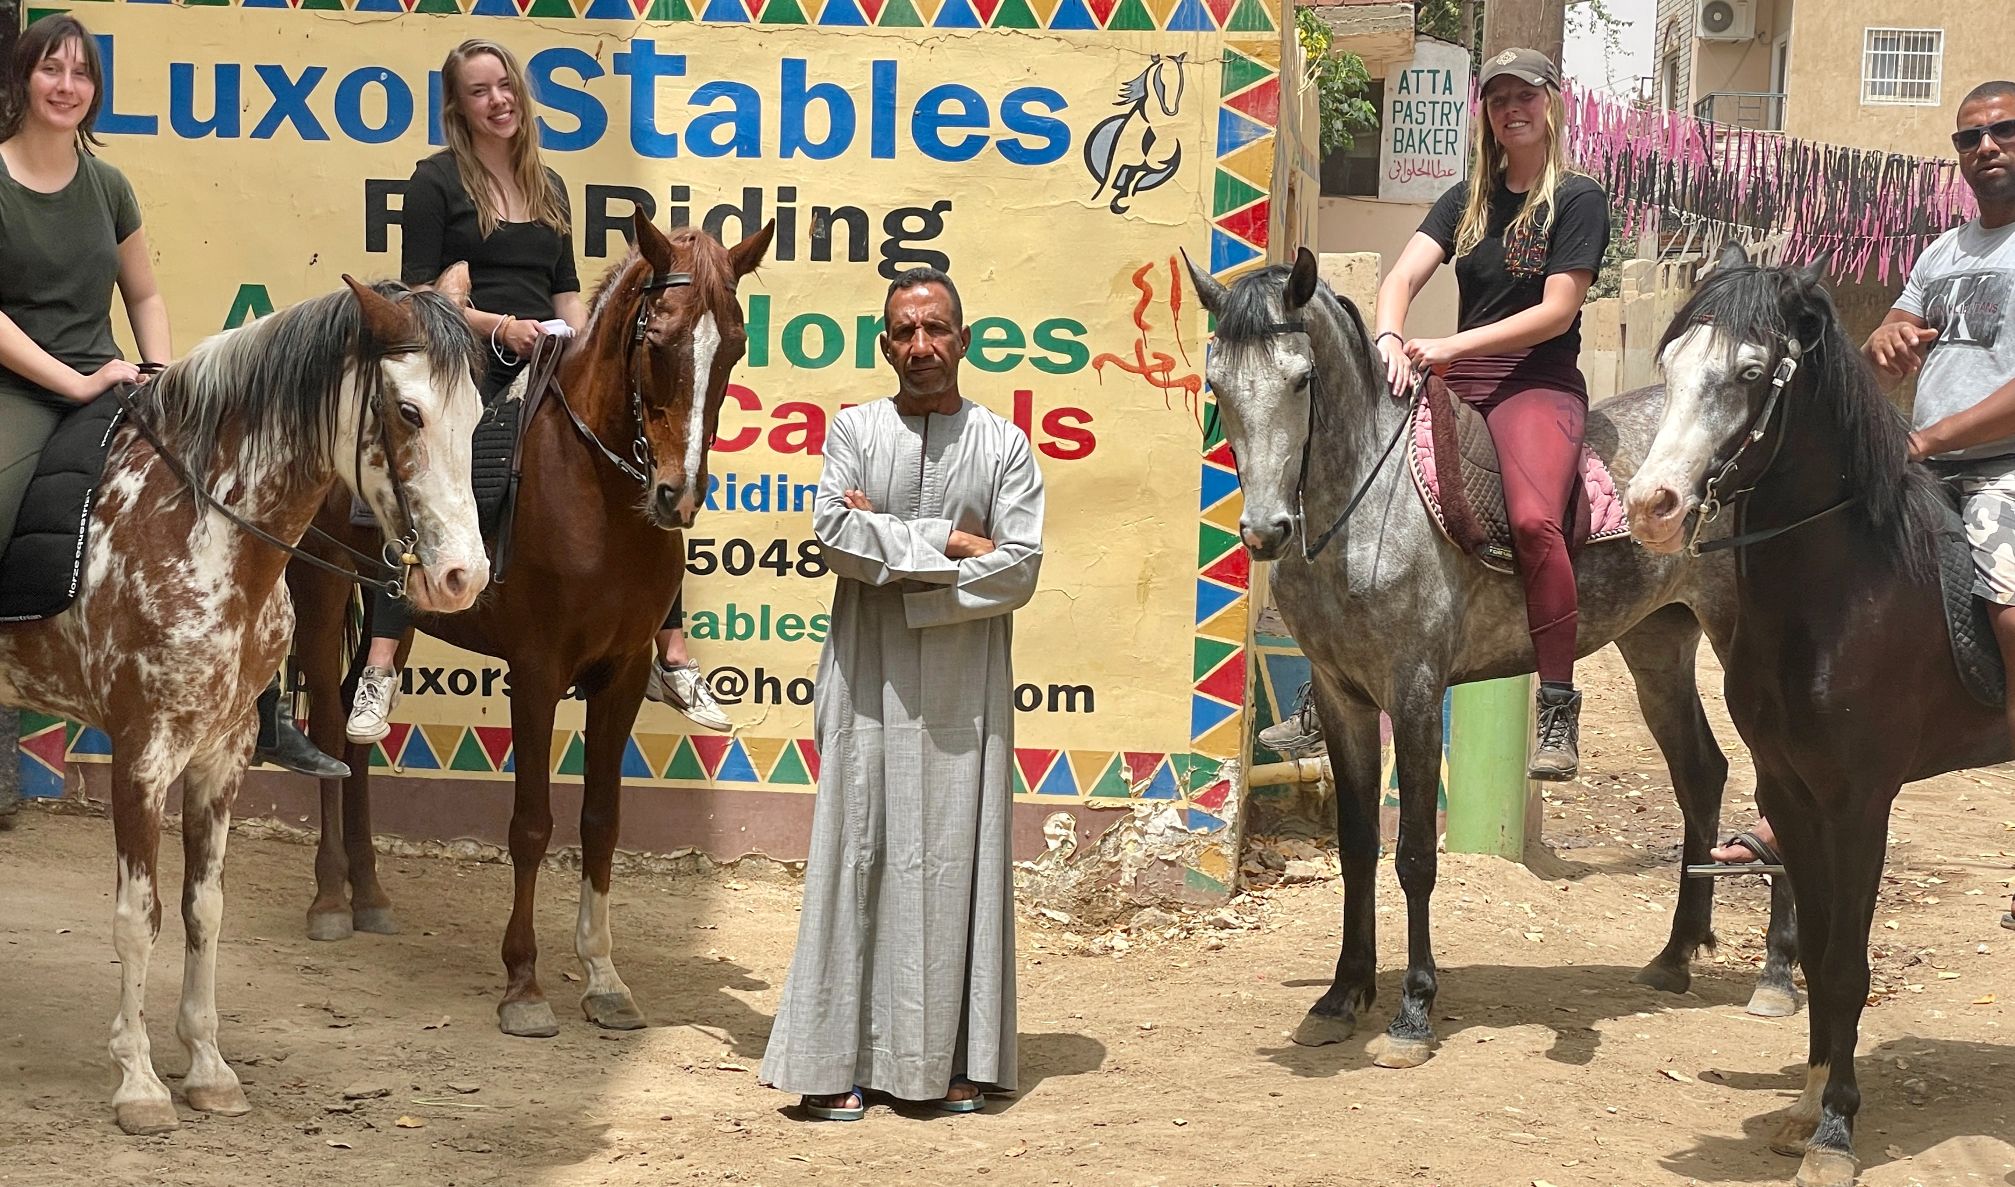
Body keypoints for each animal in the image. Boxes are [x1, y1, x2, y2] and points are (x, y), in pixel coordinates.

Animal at [0, 274, 485, 1136]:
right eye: (407, 411)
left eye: (480, 415)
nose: (463, 576)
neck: (197, 528)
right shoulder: (142, 755)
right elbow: (139, 913)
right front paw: (138, 1081)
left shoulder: (219, 759)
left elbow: (205, 908)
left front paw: (207, 1066)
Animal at [292, 215, 769, 1039]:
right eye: (657, 338)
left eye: (733, 344)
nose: (676, 494)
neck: (596, 492)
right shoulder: (538, 670)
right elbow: (533, 825)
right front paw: (524, 984)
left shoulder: (621, 674)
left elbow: (602, 820)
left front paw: (604, 978)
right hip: (321, 588)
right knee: (326, 720)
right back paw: (328, 897)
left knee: (358, 720)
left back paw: (371, 893)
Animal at [1184, 249, 1789, 1064]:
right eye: (1217, 384)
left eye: (1302, 379)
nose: (1264, 530)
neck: (1368, 507)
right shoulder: (1342, 698)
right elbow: (1356, 847)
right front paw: (1342, 994)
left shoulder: (1412, 694)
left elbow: (1413, 854)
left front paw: (1412, 1010)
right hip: (1656, 642)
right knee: (1701, 772)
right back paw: (1674, 955)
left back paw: (1778, 975)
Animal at [1628, 242, 2006, 1184]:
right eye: (1670, 365)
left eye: (1748, 372)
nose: (1650, 506)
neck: (1843, 592)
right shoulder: (1789, 792)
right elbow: (1823, 941)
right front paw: (1804, 1108)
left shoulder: (1860, 800)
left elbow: (1843, 962)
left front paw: (1834, 1133)